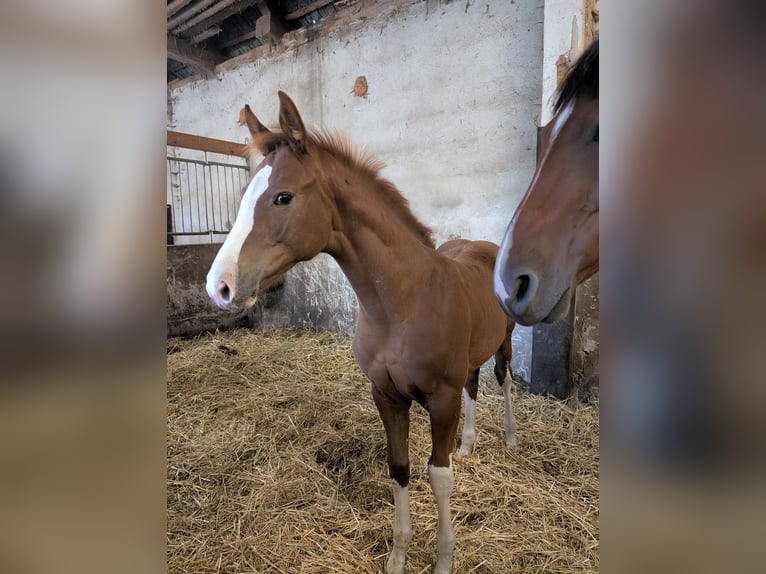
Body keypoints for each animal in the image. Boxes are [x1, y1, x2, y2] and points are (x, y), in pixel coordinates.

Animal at [206, 91, 516, 574]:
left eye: (283, 196)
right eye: (244, 196)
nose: (219, 286)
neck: (401, 305)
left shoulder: (440, 398)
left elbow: (439, 474)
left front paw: (444, 559)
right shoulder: (385, 394)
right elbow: (400, 467)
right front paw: (398, 557)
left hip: (505, 341)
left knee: (503, 380)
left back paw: (510, 437)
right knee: (474, 384)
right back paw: (468, 445)